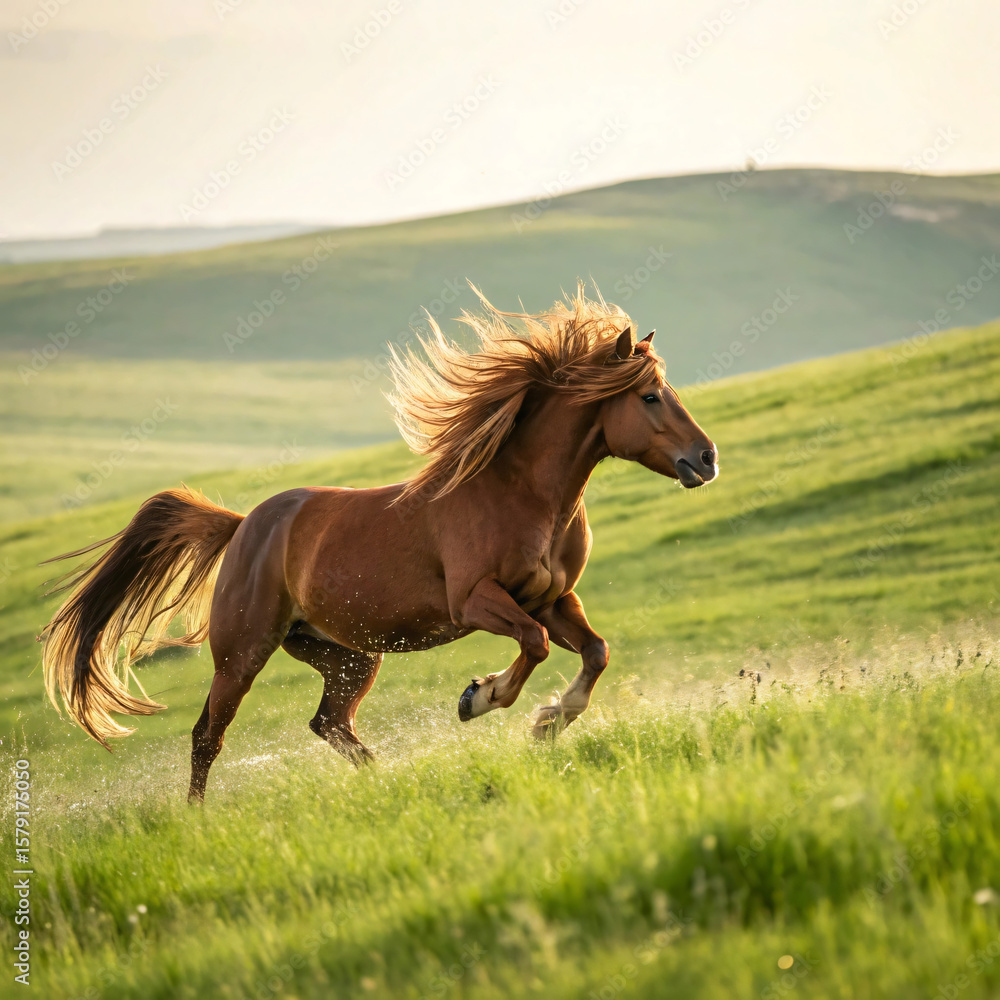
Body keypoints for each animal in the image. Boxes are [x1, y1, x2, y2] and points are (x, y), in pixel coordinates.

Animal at [41, 290, 718, 801]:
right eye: (649, 396)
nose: (706, 458)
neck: (519, 491)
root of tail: (243, 526)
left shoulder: (553, 598)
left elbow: (594, 652)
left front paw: (549, 721)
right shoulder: (476, 600)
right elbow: (534, 644)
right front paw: (481, 698)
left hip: (346, 656)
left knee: (328, 722)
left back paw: (381, 779)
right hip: (243, 655)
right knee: (209, 734)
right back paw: (198, 818)